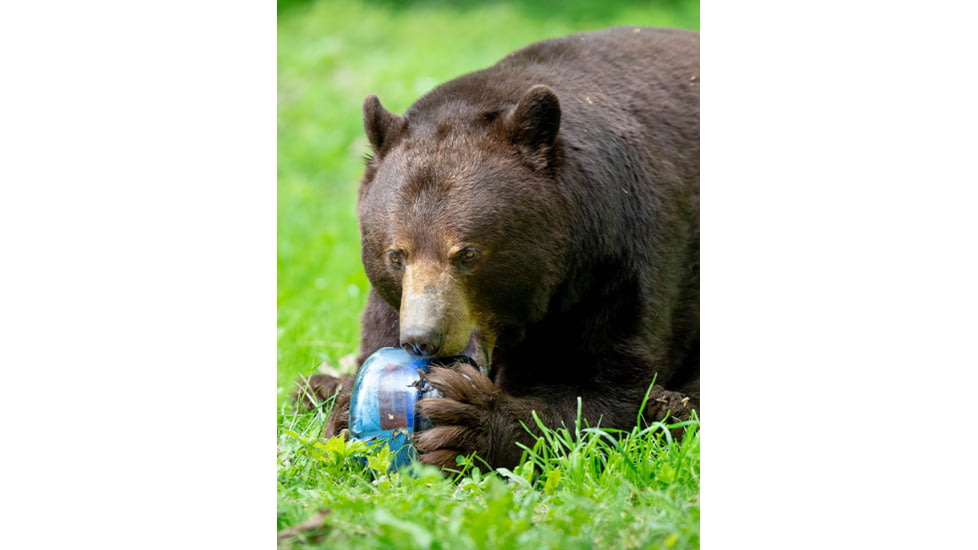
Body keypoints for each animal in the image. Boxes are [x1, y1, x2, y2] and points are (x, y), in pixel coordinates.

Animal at [303, 26, 699, 471]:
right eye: (396, 255)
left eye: (467, 253)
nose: (423, 339)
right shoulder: (392, 301)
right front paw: (341, 407)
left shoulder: (616, 262)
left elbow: (605, 389)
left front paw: (465, 423)